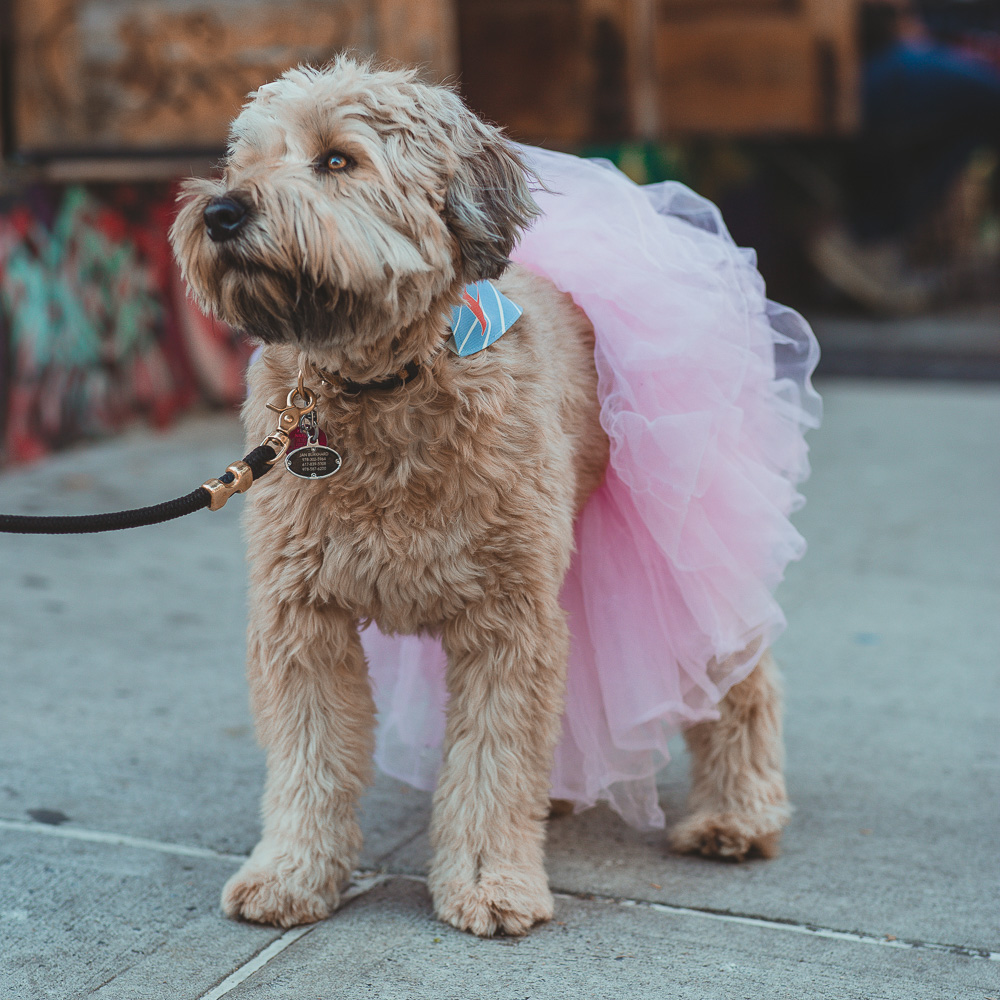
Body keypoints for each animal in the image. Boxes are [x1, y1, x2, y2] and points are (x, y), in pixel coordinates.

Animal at [176, 56, 792, 936]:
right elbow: (309, 757)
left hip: (685, 539)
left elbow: (493, 761)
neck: (384, 383)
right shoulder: (301, 615)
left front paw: (490, 881)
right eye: (241, 162)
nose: (221, 210)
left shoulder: (507, 620)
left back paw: (736, 815)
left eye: (337, 159)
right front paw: (291, 873)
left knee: (737, 675)